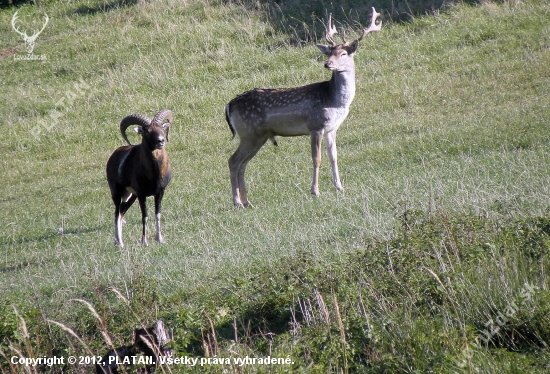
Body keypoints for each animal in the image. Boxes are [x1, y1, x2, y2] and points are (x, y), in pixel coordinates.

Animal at [226, 6, 382, 207]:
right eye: (329, 53)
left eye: (343, 53)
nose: (327, 64)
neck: (335, 100)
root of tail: (229, 105)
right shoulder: (316, 126)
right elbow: (317, 159)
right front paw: (315, 191)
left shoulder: (331, 128)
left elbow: (334, 156)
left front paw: (339, 187)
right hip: (249, 134)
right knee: (233, 161)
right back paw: (237, 202)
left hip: (257, 137)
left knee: (243, 164)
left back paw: (247, 202)